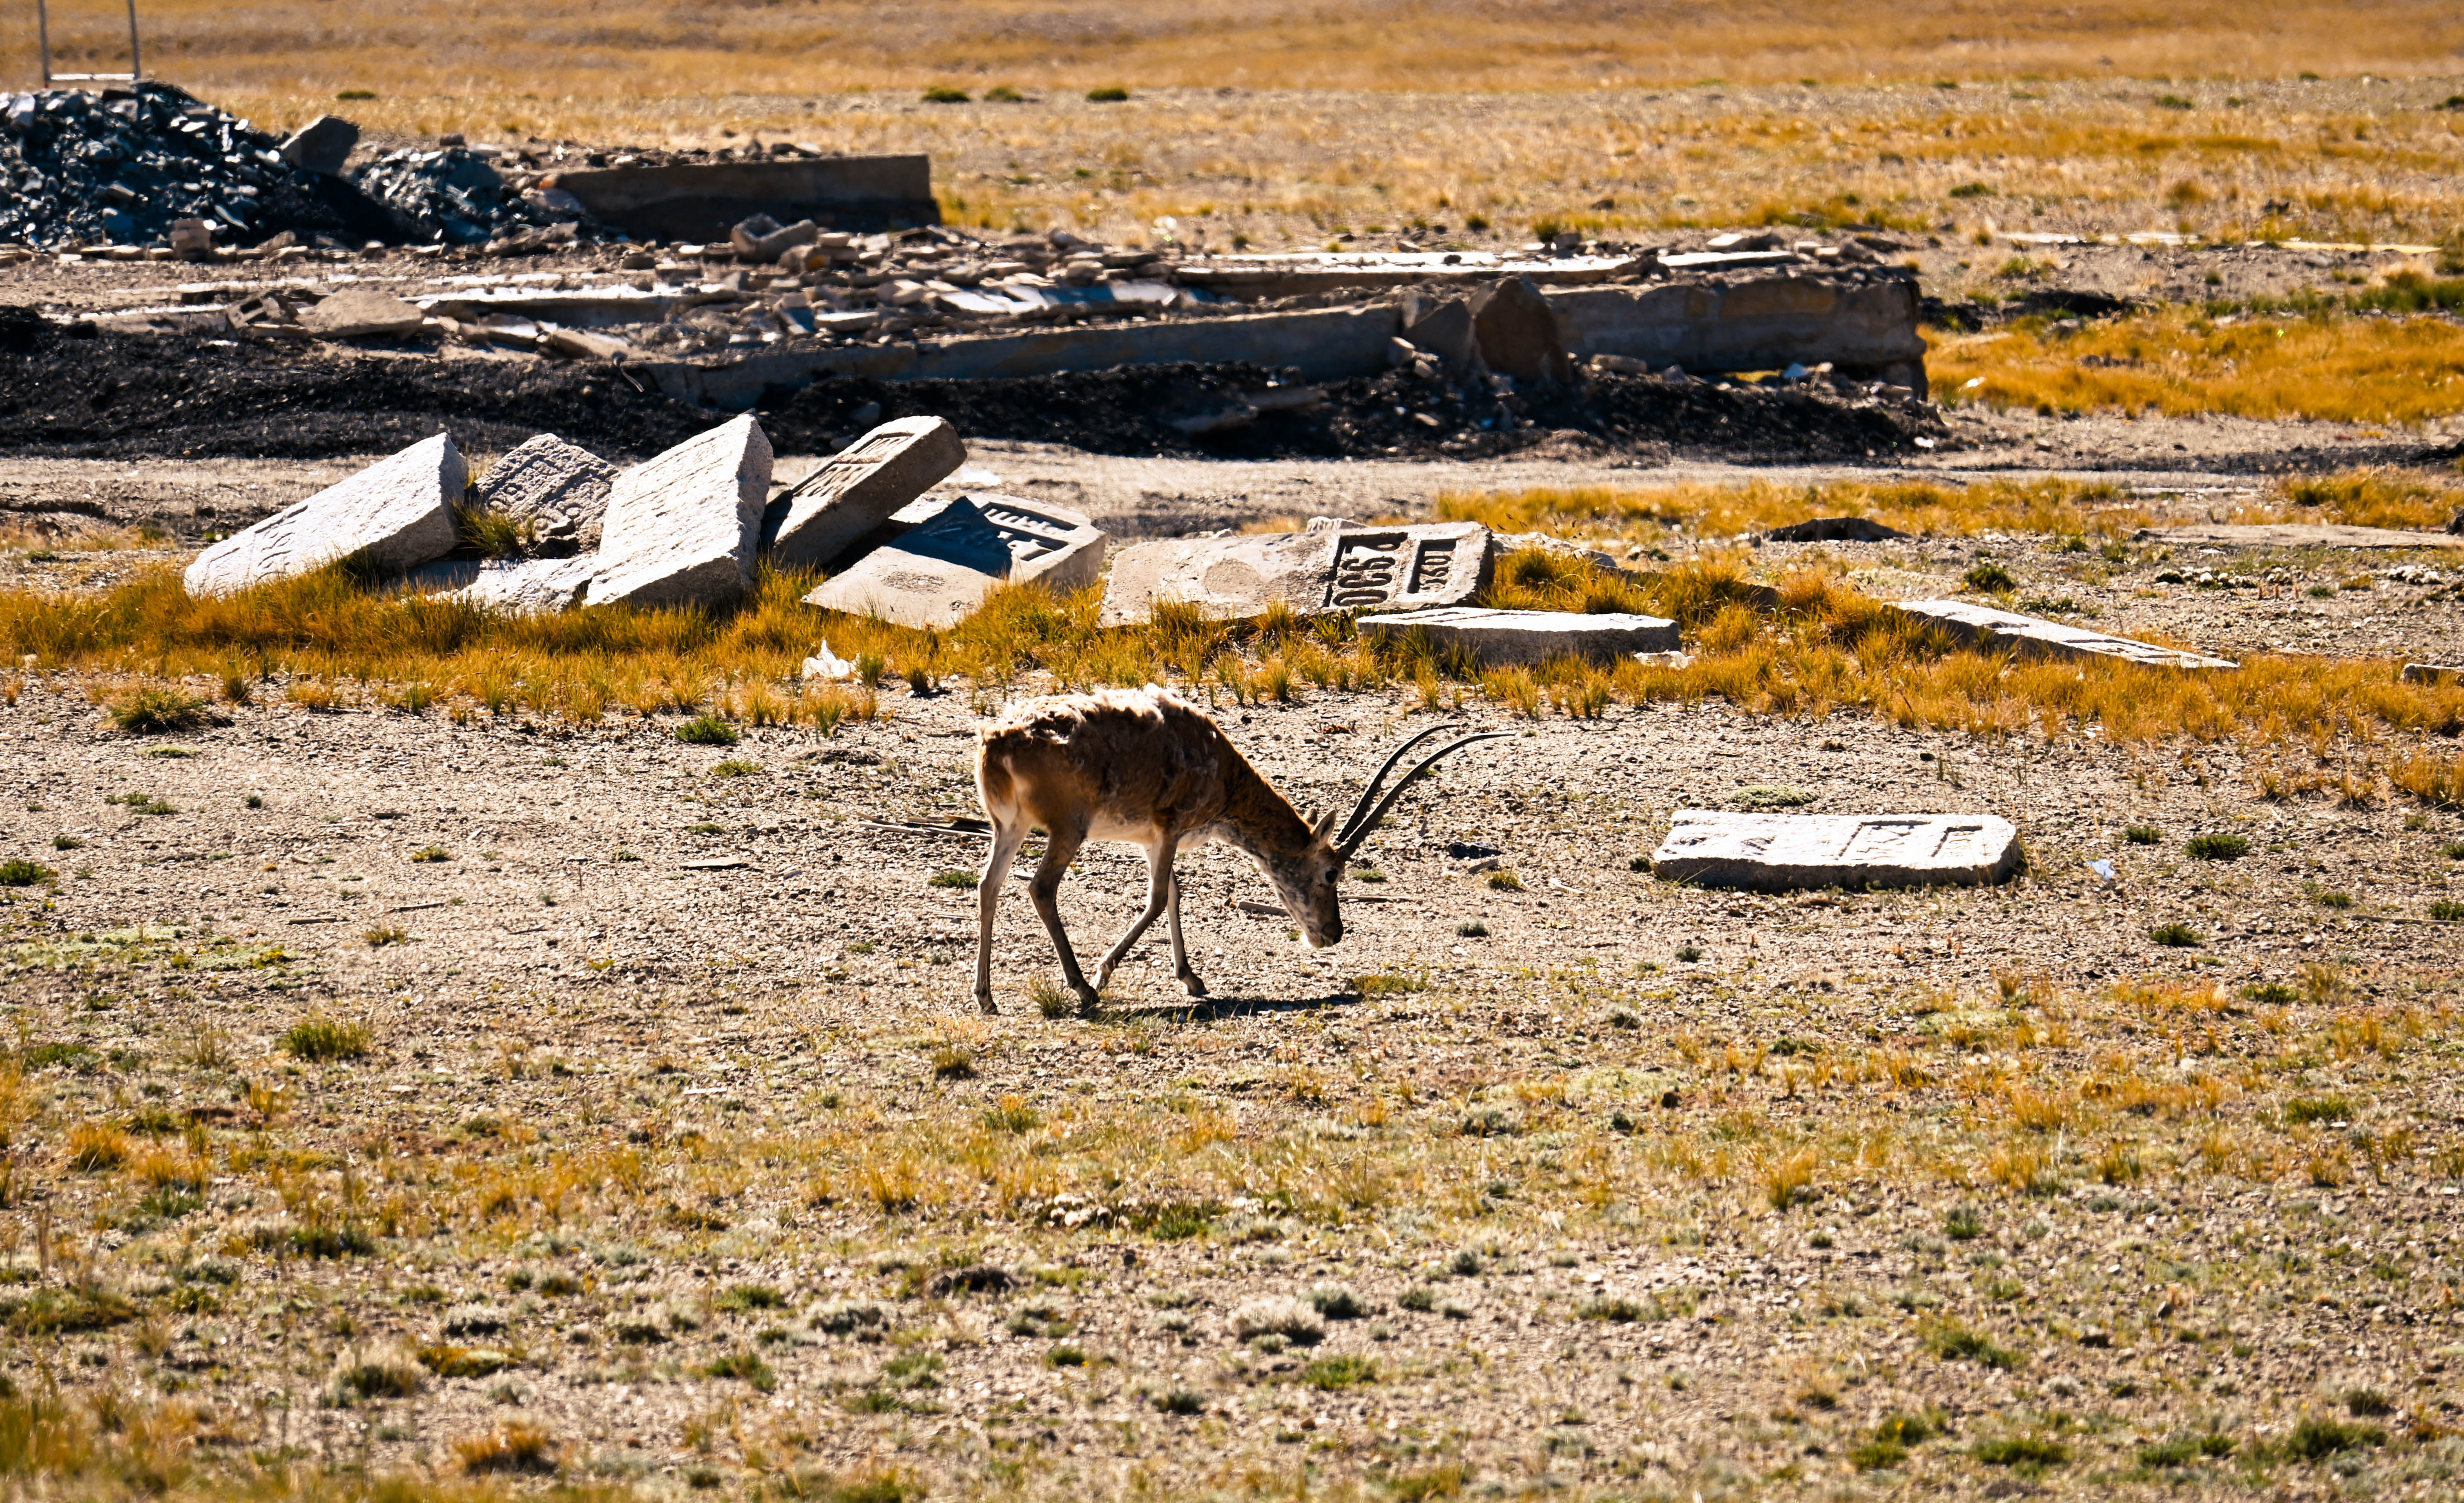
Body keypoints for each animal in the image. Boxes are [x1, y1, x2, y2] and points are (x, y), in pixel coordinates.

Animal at [970, 685, 1508, 1010]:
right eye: (1332, 873)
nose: (1332, 934)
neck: (1220, 766)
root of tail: (999, 741)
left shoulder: (1153, 839)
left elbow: (1174, 894)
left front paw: (1192, 979)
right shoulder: (1169, 828)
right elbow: (1157, 900)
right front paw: (1105, 974)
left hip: (1009, 827)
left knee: (988, 885)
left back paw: (986, 997)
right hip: (1069, 828)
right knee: (1041, 888)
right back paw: (1083, 989)